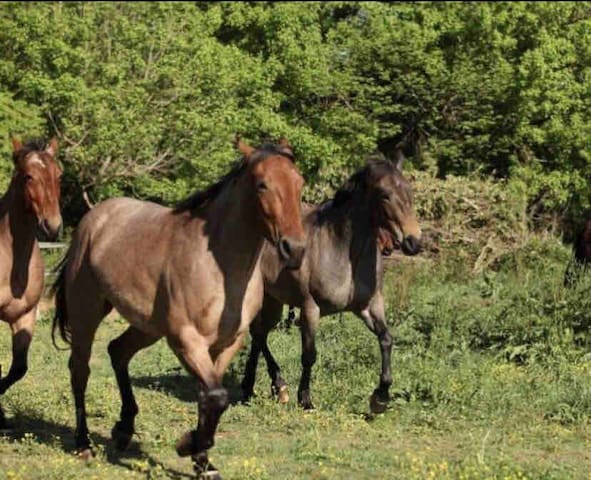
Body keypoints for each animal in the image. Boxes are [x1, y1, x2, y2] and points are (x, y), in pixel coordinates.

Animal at [53, 137, 308, 478]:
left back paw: (123, 429)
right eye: (262, 185)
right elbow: (217, 396)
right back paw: (83, 444)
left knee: (118, 351)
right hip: (87, 312)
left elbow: (209, 398)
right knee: (80, 369)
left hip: (147, 327)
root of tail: (94, 219)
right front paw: (187, 446)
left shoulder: (228, 343)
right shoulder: (186, 340)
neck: (221, 270)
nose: (295, 249)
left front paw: (203, 462)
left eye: (299, 183)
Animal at [243, 153, 424, 412]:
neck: (344, 253)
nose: (414, 241)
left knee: (259, 335)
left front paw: (380, 397)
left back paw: (257, 388)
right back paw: (275, 386)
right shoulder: (310, 308)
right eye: (384, 195)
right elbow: (309, 355)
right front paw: (305, 399)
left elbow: (386, 339)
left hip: (273, 301)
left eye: (409, 192)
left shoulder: (369, 306)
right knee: (258, 334)